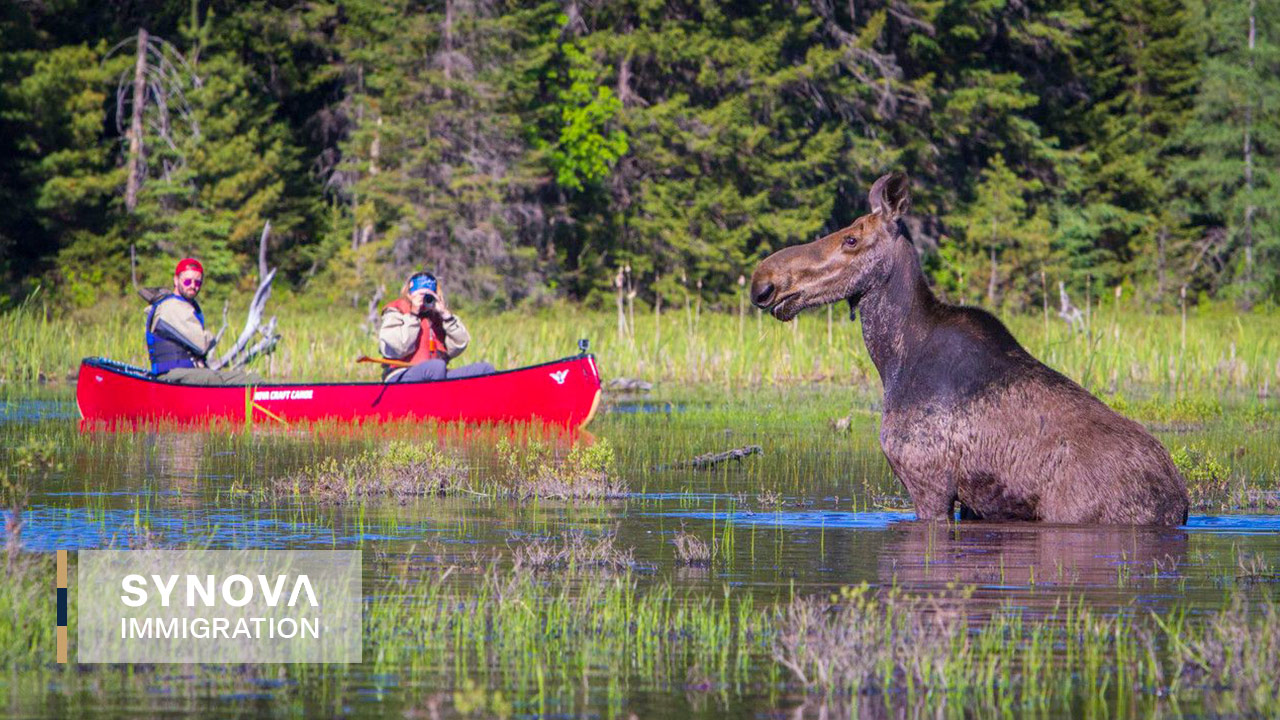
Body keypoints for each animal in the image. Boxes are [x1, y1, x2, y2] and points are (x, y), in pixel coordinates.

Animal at [747, 174, 1187, 520]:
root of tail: (1180, 505)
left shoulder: (927, 480)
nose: (764, 281)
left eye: (851, 239)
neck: (892, 359)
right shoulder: (976, 502)